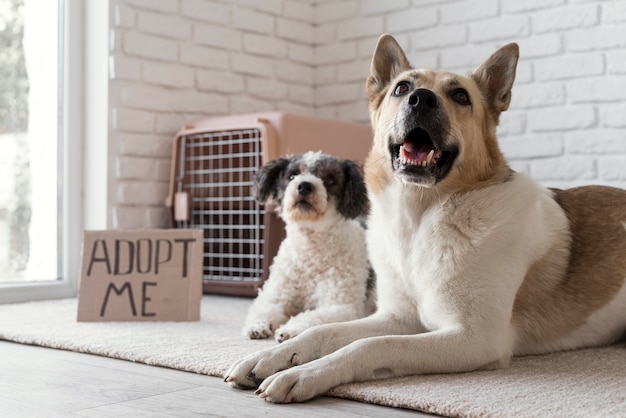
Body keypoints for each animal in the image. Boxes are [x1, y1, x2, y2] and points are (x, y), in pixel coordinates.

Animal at [241, 150, 372, 342]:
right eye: (292, 176)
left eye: (330, 179)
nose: (304, 186)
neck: (310, 251)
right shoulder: (274, 297)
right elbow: (263, 309)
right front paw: (257, 326)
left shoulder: (341, 306)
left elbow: (312, 316)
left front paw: (290, 329)